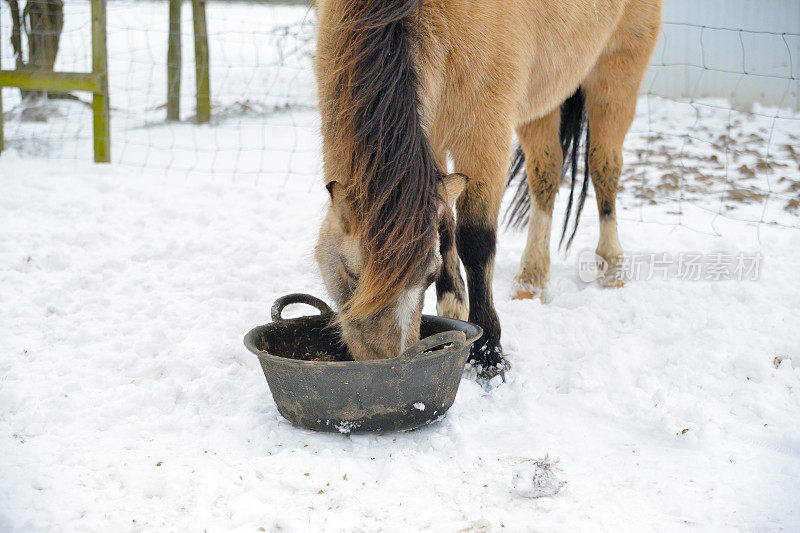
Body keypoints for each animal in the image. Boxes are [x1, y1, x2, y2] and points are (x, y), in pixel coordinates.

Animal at [314, 0, 664, 372]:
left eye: (428, 275)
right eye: (351, 272)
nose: (385, 360)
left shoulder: (485, 132)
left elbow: (475, 240)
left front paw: (487, 351)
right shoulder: (433, 135)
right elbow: (444, 227)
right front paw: (455, 310)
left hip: (616, 73)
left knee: (604, 167)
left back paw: (611, 268)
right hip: (541, 98)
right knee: (546, 174)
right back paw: (531, 281)